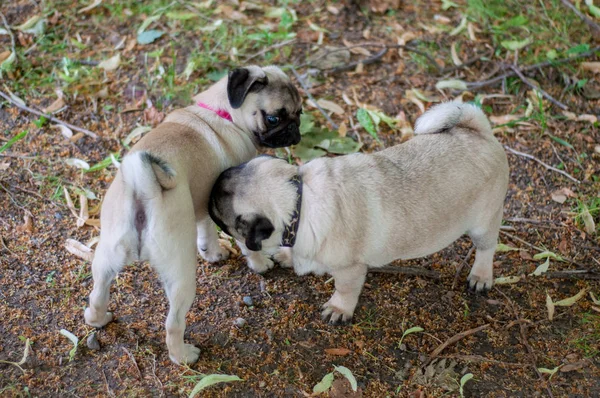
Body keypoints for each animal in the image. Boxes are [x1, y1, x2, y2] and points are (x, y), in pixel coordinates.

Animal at [83, 65, 304, 364]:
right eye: (273, 118)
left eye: (300, 112)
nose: (295, 129)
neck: (221, 113)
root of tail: (144, 190)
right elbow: (247, 244)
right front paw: (260, 264)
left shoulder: (202, 203)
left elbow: (206, 231)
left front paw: (213, 254)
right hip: (181, 274)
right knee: (173, 323)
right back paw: (184, 356)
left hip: (107, 255)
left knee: (98, 291)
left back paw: (98, 318)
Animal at [209, 104, 508, 324]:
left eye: (221, 215)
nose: (207, 198)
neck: (298, 200)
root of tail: (477, 132)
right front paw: (286, 255)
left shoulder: (349, 269)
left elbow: (345, 289)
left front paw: (339, 309)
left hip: (483, 223)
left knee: (486, 249)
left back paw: (481, 276)